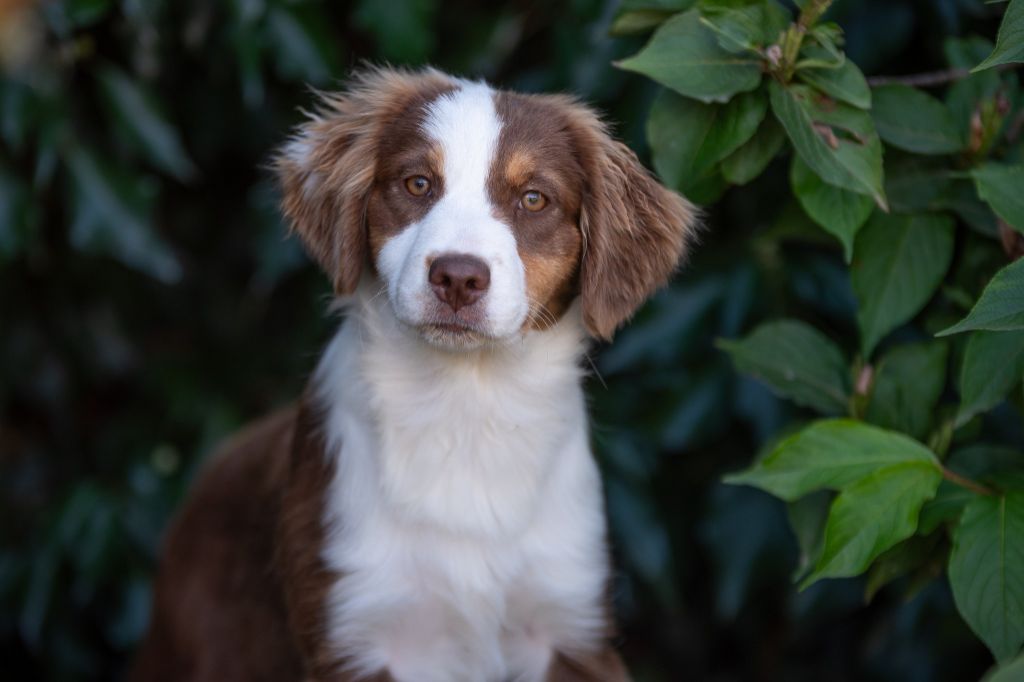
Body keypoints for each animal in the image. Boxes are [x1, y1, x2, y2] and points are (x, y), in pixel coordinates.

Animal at [130, 66, 696, 679]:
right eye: (417, 184)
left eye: (533, 199)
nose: (458, 278)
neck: (466, 405)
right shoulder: (354, 633)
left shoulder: (569, 626)